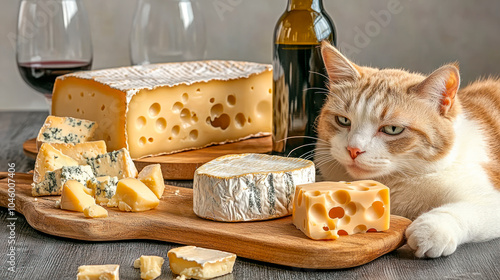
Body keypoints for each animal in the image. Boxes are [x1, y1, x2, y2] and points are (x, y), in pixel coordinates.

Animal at [314, 41, 500, 258]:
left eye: (392, 129)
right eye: (343, 120)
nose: (354, 149)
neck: (396, 181)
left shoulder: (488, 193)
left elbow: (463, 210)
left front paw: (431, 230)